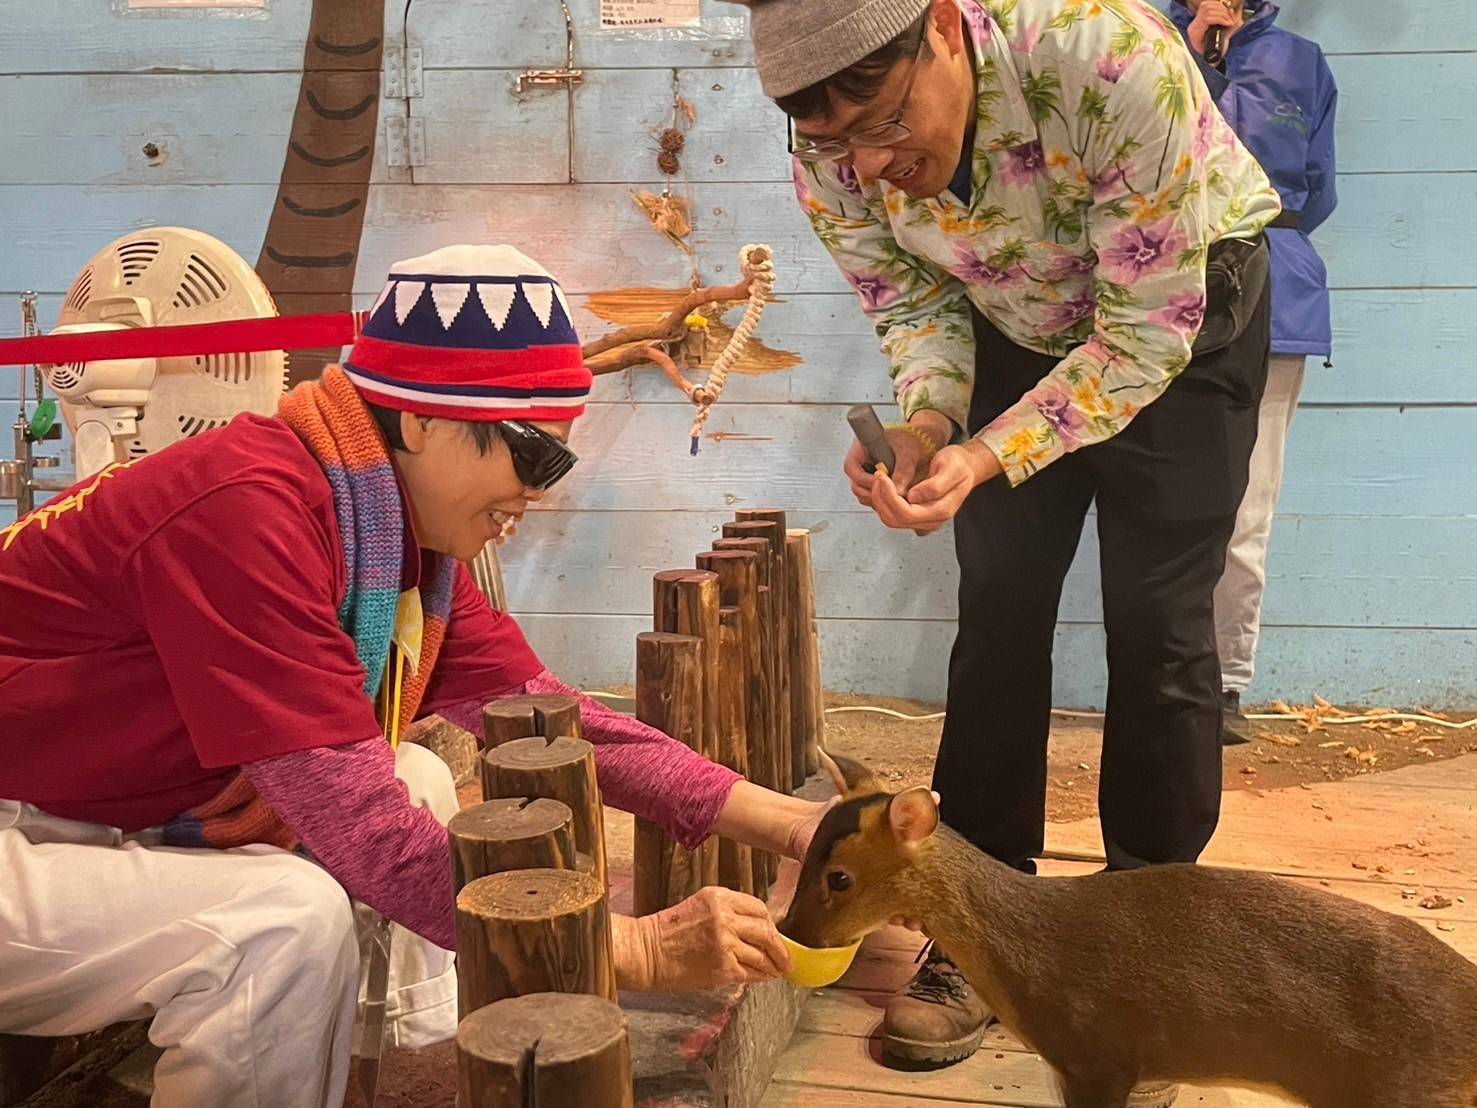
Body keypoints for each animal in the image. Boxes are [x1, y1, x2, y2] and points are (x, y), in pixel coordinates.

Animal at [785, 756, 1477, 1108]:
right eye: (809, 847)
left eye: (839, 878)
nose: (792, 932)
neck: (1030, 954)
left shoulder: (1099, 1050)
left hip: (1408, 1090)